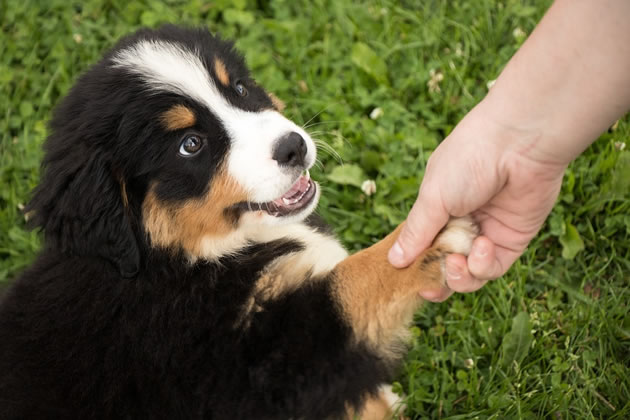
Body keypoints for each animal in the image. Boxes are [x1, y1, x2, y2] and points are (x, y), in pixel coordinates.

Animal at [0, 26, 478, 420]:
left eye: (242, 89)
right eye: (190, 144)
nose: (293, 147)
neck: (179, 260)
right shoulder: (254, 372)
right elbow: (346, 287)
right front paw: (426, 243)